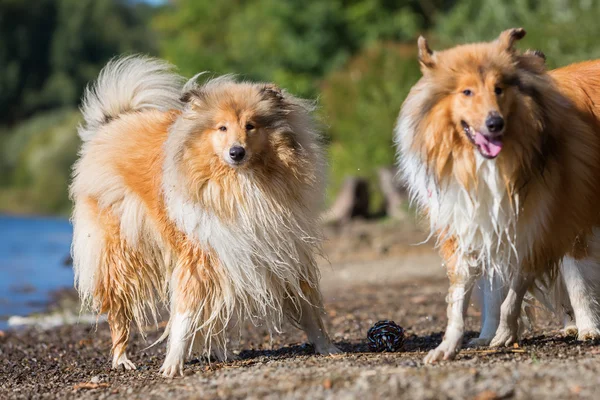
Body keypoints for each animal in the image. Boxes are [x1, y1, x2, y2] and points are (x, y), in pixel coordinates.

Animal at [70, 54, 340, 376]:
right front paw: (172, 364)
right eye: (221, 128)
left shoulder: (280, 250)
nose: (237, 152)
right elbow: (184, 316)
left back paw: (223, 353)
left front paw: (328, 347)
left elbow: (308, 308)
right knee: (118, 312)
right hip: (120, 254)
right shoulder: (199, 256)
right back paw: (121, 358)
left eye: (250, 125)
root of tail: (115, 121)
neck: (242, 184)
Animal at [396, 29, 600, 364]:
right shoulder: (472, 224)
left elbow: (565, 281)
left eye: (499, 89)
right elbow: (472, 294)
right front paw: (457, 343)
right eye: (466, 91)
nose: (495, 124)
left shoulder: (549, 220)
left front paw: (586, 329)